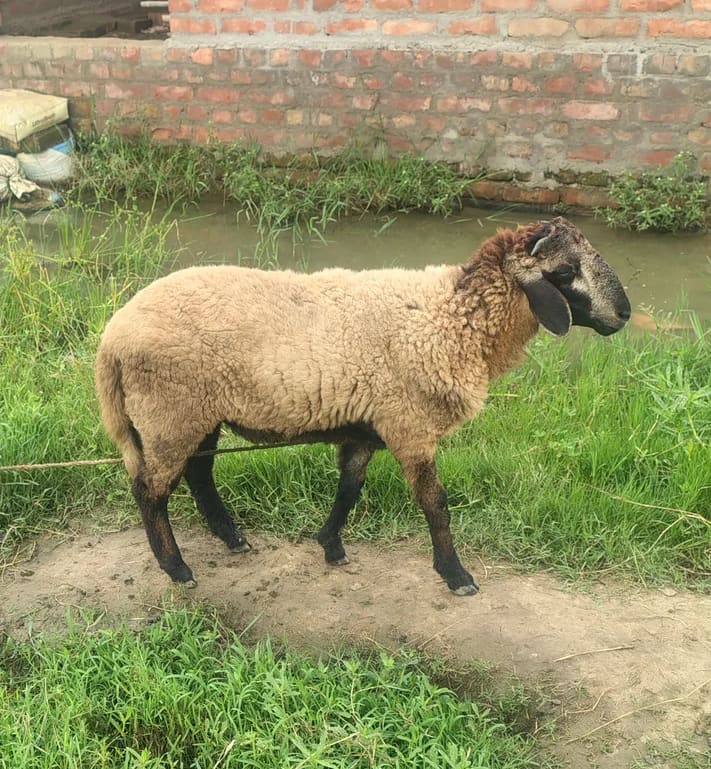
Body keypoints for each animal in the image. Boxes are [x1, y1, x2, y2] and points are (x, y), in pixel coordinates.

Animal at [95, 216, 631, 595]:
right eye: (566, 272)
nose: (624, 315)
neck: (452, 318)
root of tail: (113, 338)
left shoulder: (367, 427)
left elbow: (349, 490)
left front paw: (331, 545)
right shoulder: (410, 427)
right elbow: (436, 505)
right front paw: (456, 576)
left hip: (196, 412)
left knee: (198, 473)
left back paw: (231, 537)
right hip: (170, 411)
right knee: (150, 491)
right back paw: (177, 568)